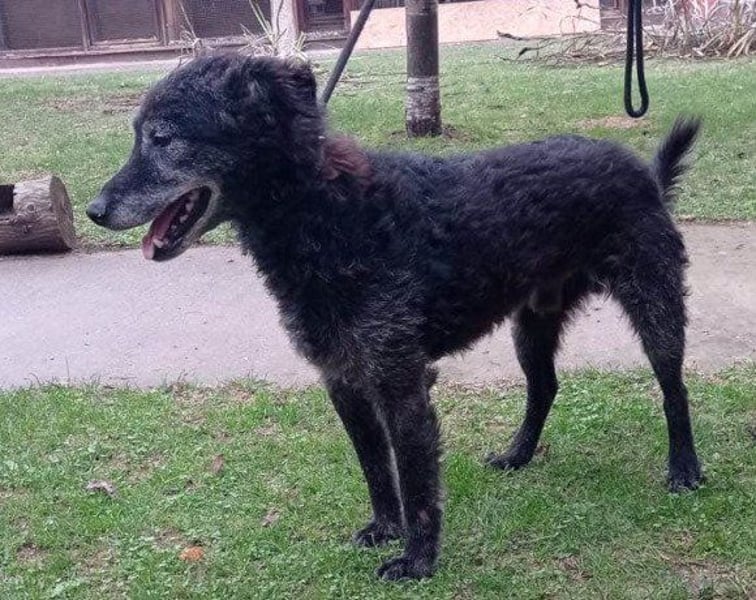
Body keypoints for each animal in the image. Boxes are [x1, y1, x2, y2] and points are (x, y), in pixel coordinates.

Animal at [88, 54, 703, 581]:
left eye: (163, 138)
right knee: (545, 385)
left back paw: (684, 469)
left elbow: (415, 482)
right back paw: (518, 454)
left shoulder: (400, 382)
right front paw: (386, 528)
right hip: (532, 323)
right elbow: (376, 469)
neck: (329, 214)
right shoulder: (344, 380)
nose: (94, 210)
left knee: (674, 389)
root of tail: (644, 172)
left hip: (654, 304)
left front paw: (418, 561)